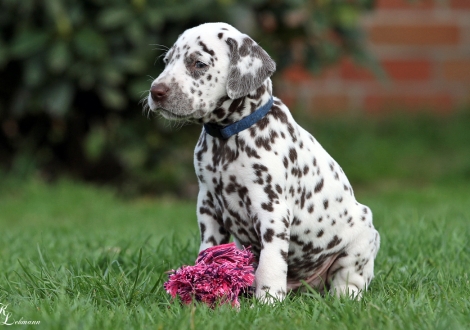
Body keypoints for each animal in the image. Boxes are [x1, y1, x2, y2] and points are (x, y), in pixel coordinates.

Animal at [147, 21, 382, 302]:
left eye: (199, 64)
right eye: (167, 61)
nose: (156, 92)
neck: (227, 139)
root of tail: (305, 287)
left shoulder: (271, 208)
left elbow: (271, 262)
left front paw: (268, 300)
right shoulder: (208, 206)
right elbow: (208, 250)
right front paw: (199, 283)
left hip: (362, 240)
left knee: (350, 281)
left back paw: (342, 296)